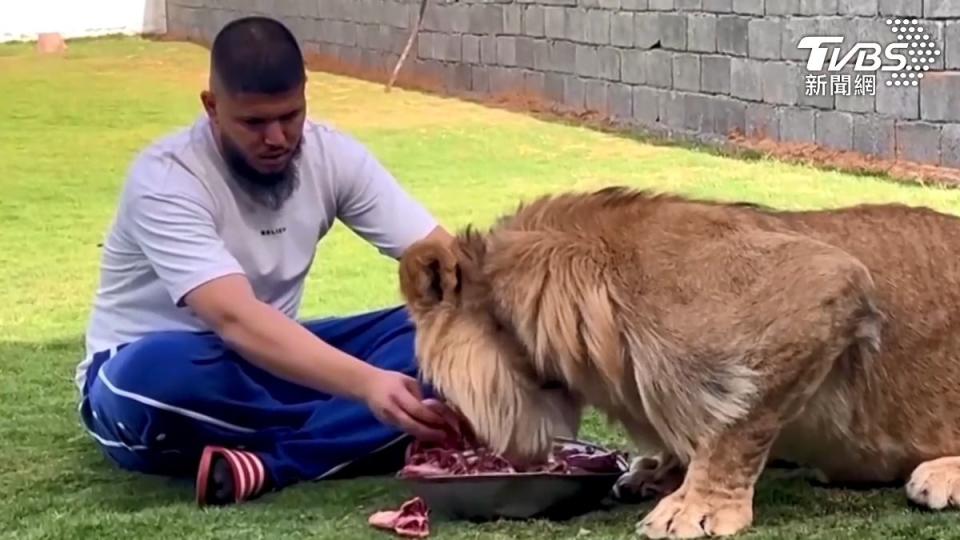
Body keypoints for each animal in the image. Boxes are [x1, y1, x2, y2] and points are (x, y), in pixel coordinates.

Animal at [396, 187, 960, 540]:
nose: (446, 434)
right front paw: (661, 472)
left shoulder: (823, 281)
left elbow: (737, 423)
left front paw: (698, 507)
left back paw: (941, 475)